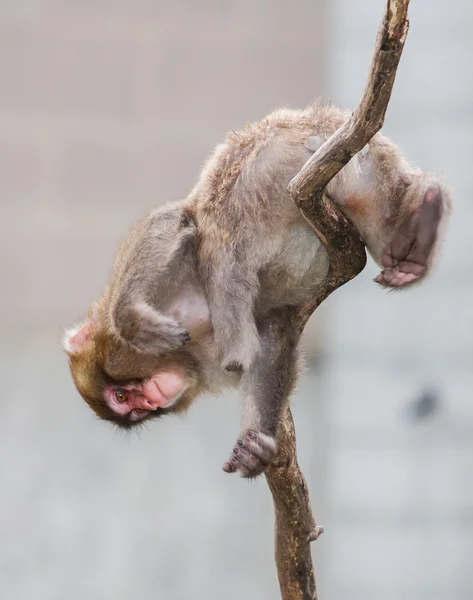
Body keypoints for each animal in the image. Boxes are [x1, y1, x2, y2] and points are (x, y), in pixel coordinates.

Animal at [63, 102, 450, 478]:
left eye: (122, 396)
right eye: (131, 407)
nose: (150, 400)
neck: (189, 353)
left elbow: (175, 219)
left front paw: (132, 320)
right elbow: (272, 335)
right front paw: (257, 449)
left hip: (262, 170)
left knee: (219, 229)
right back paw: (418, 234)